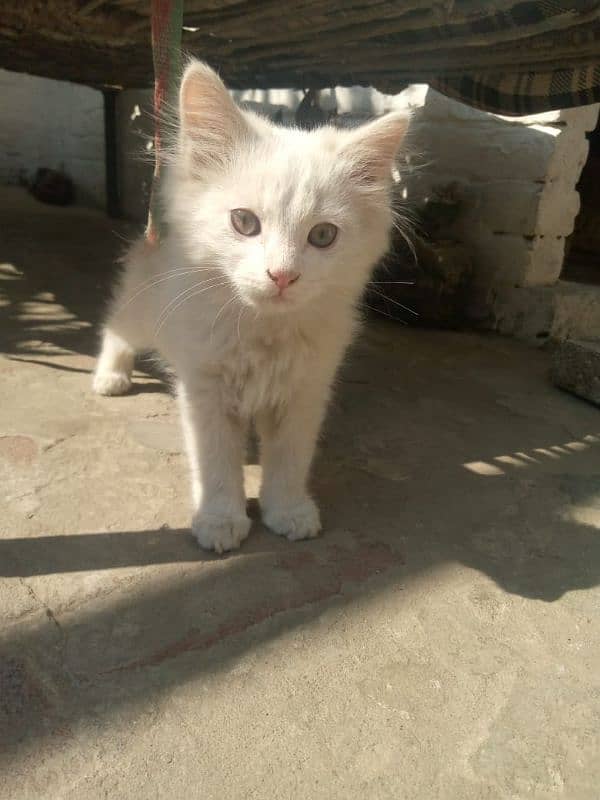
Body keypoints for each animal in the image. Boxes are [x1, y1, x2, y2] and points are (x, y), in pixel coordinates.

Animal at [92, 62, 408, 552]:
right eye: (244, 222)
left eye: (323, 236)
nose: (282, 275)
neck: (263, 331)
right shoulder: (205, 386)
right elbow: (216, 461)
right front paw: (220, 519)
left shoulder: (306, 388)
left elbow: (291, 457)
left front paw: (288, 510)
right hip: (144, 306)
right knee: (116, 326)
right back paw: (110, 375)